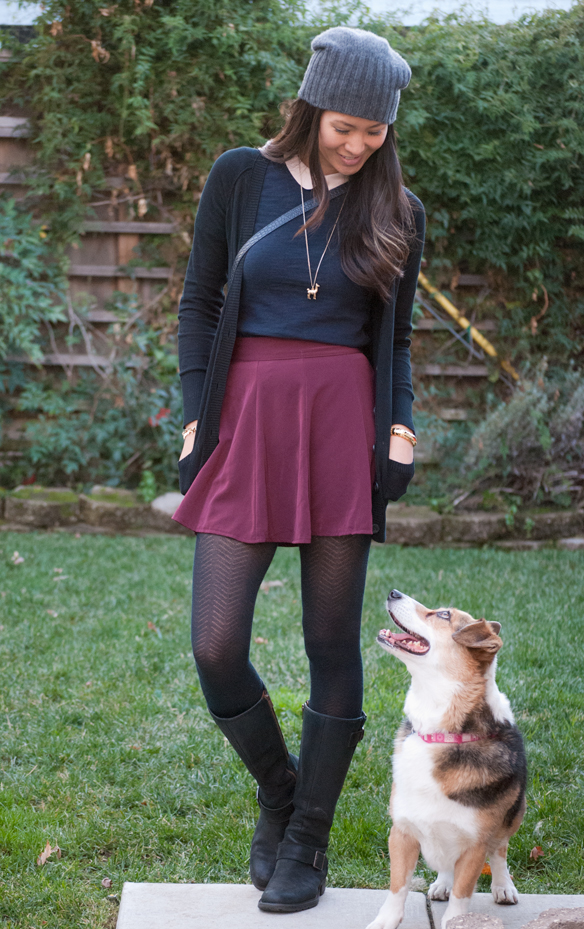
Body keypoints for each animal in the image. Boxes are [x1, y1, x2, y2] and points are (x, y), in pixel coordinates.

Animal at [364, 592, 524, 928]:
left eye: (444, 615)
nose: (393, 593)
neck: (441, 733)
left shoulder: (476, 844)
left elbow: (463, 895)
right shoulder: (402, 831)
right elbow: (397, 886)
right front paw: (386, 920)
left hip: (514, 815)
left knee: (500, 850)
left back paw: (503, 886)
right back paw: (442, 884)